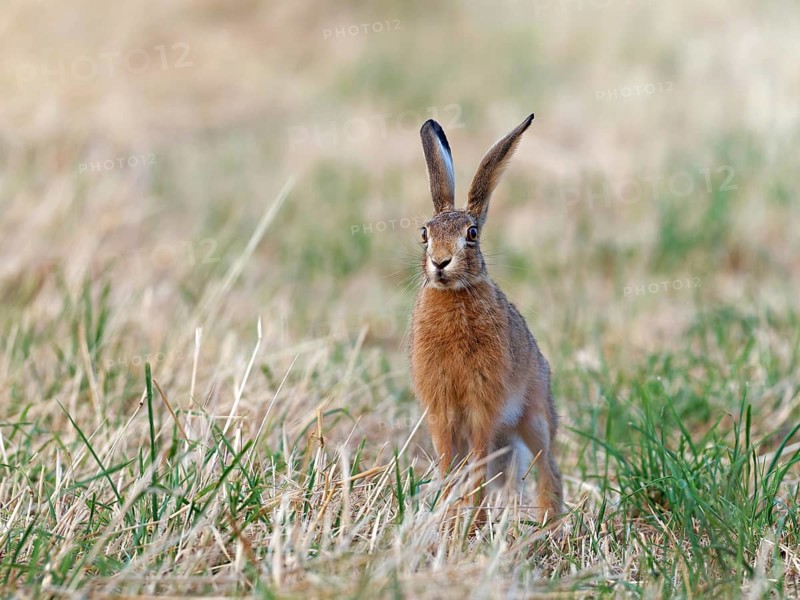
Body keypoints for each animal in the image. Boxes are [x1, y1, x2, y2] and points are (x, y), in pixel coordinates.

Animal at [409, 114, 563, 522]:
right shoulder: (442, 410)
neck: (454, 295)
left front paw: (472, 522)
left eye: (472, 234)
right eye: (425, 233)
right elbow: (449, 466)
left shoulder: (483, 407)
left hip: (534, 417)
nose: (440, 262)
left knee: (548, 466)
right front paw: (447, 517)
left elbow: (477, 468)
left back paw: (549, 523)